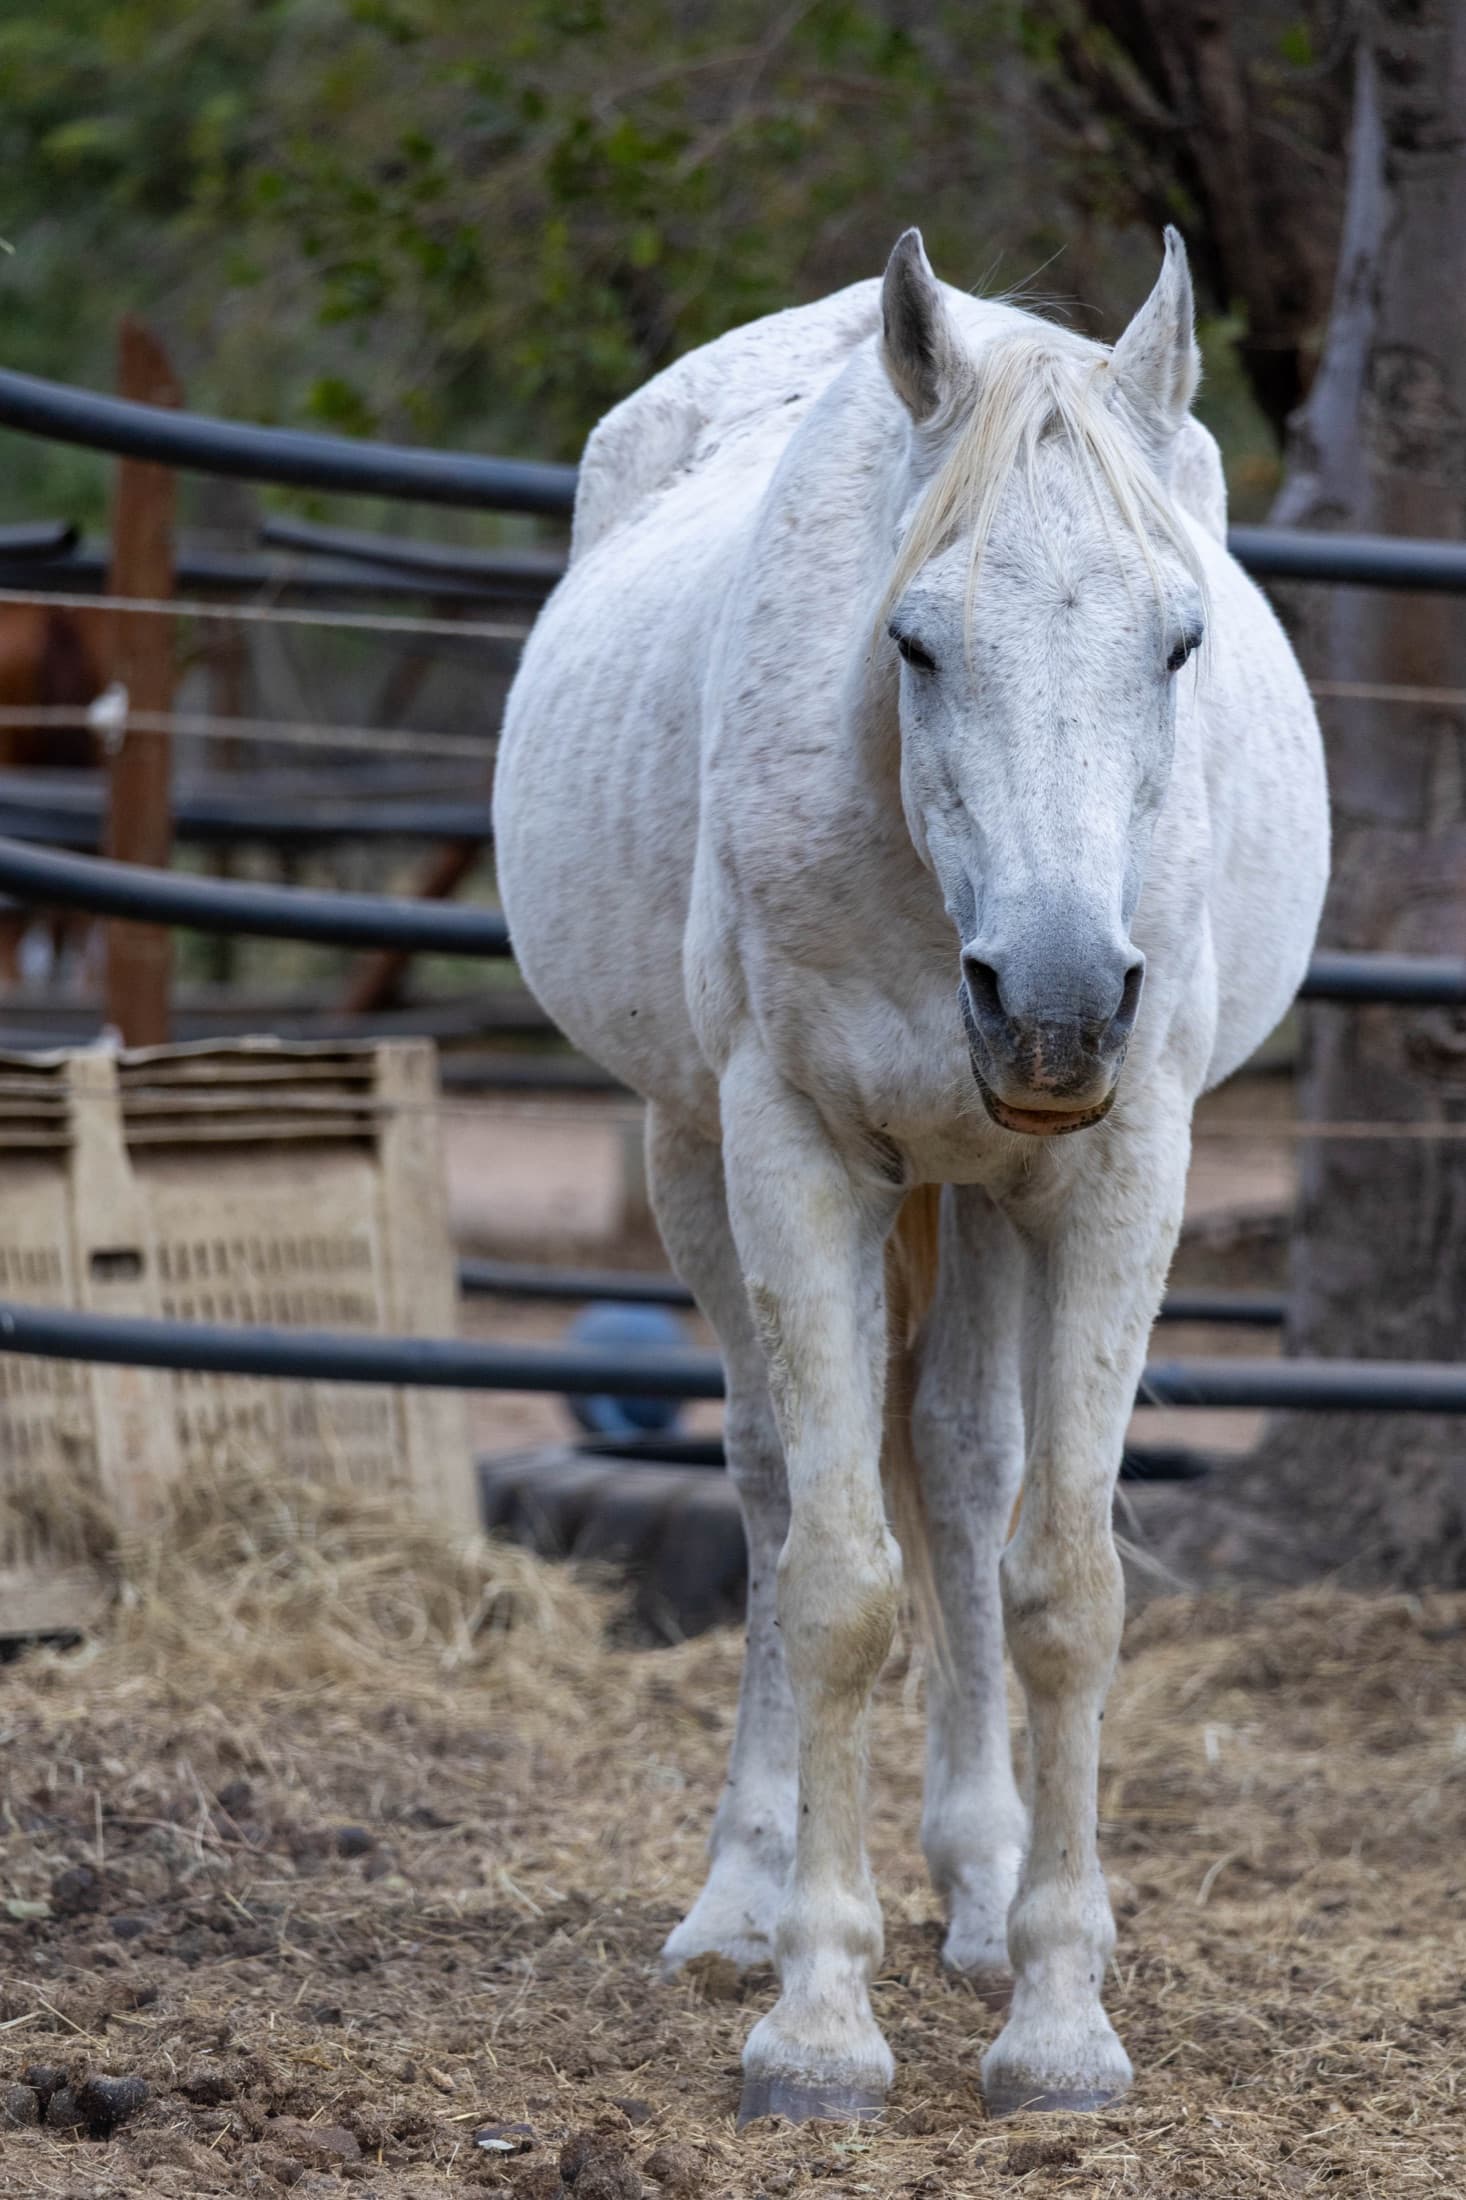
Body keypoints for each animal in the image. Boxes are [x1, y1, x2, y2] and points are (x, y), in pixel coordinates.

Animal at [494, 229, 1328, 2126]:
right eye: (915, 642)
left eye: (1181, 640)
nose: (1059, 1003)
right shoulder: (790, 1152)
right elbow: (834, 1587)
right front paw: (814, 2020)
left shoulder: (1118, 1174)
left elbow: (1062, 1587)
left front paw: (1058, 2019)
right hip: (690, 1157)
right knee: (767, 1482)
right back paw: (741, 1901)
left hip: (993, 1193)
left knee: (961, 1472)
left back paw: (976, 1892)